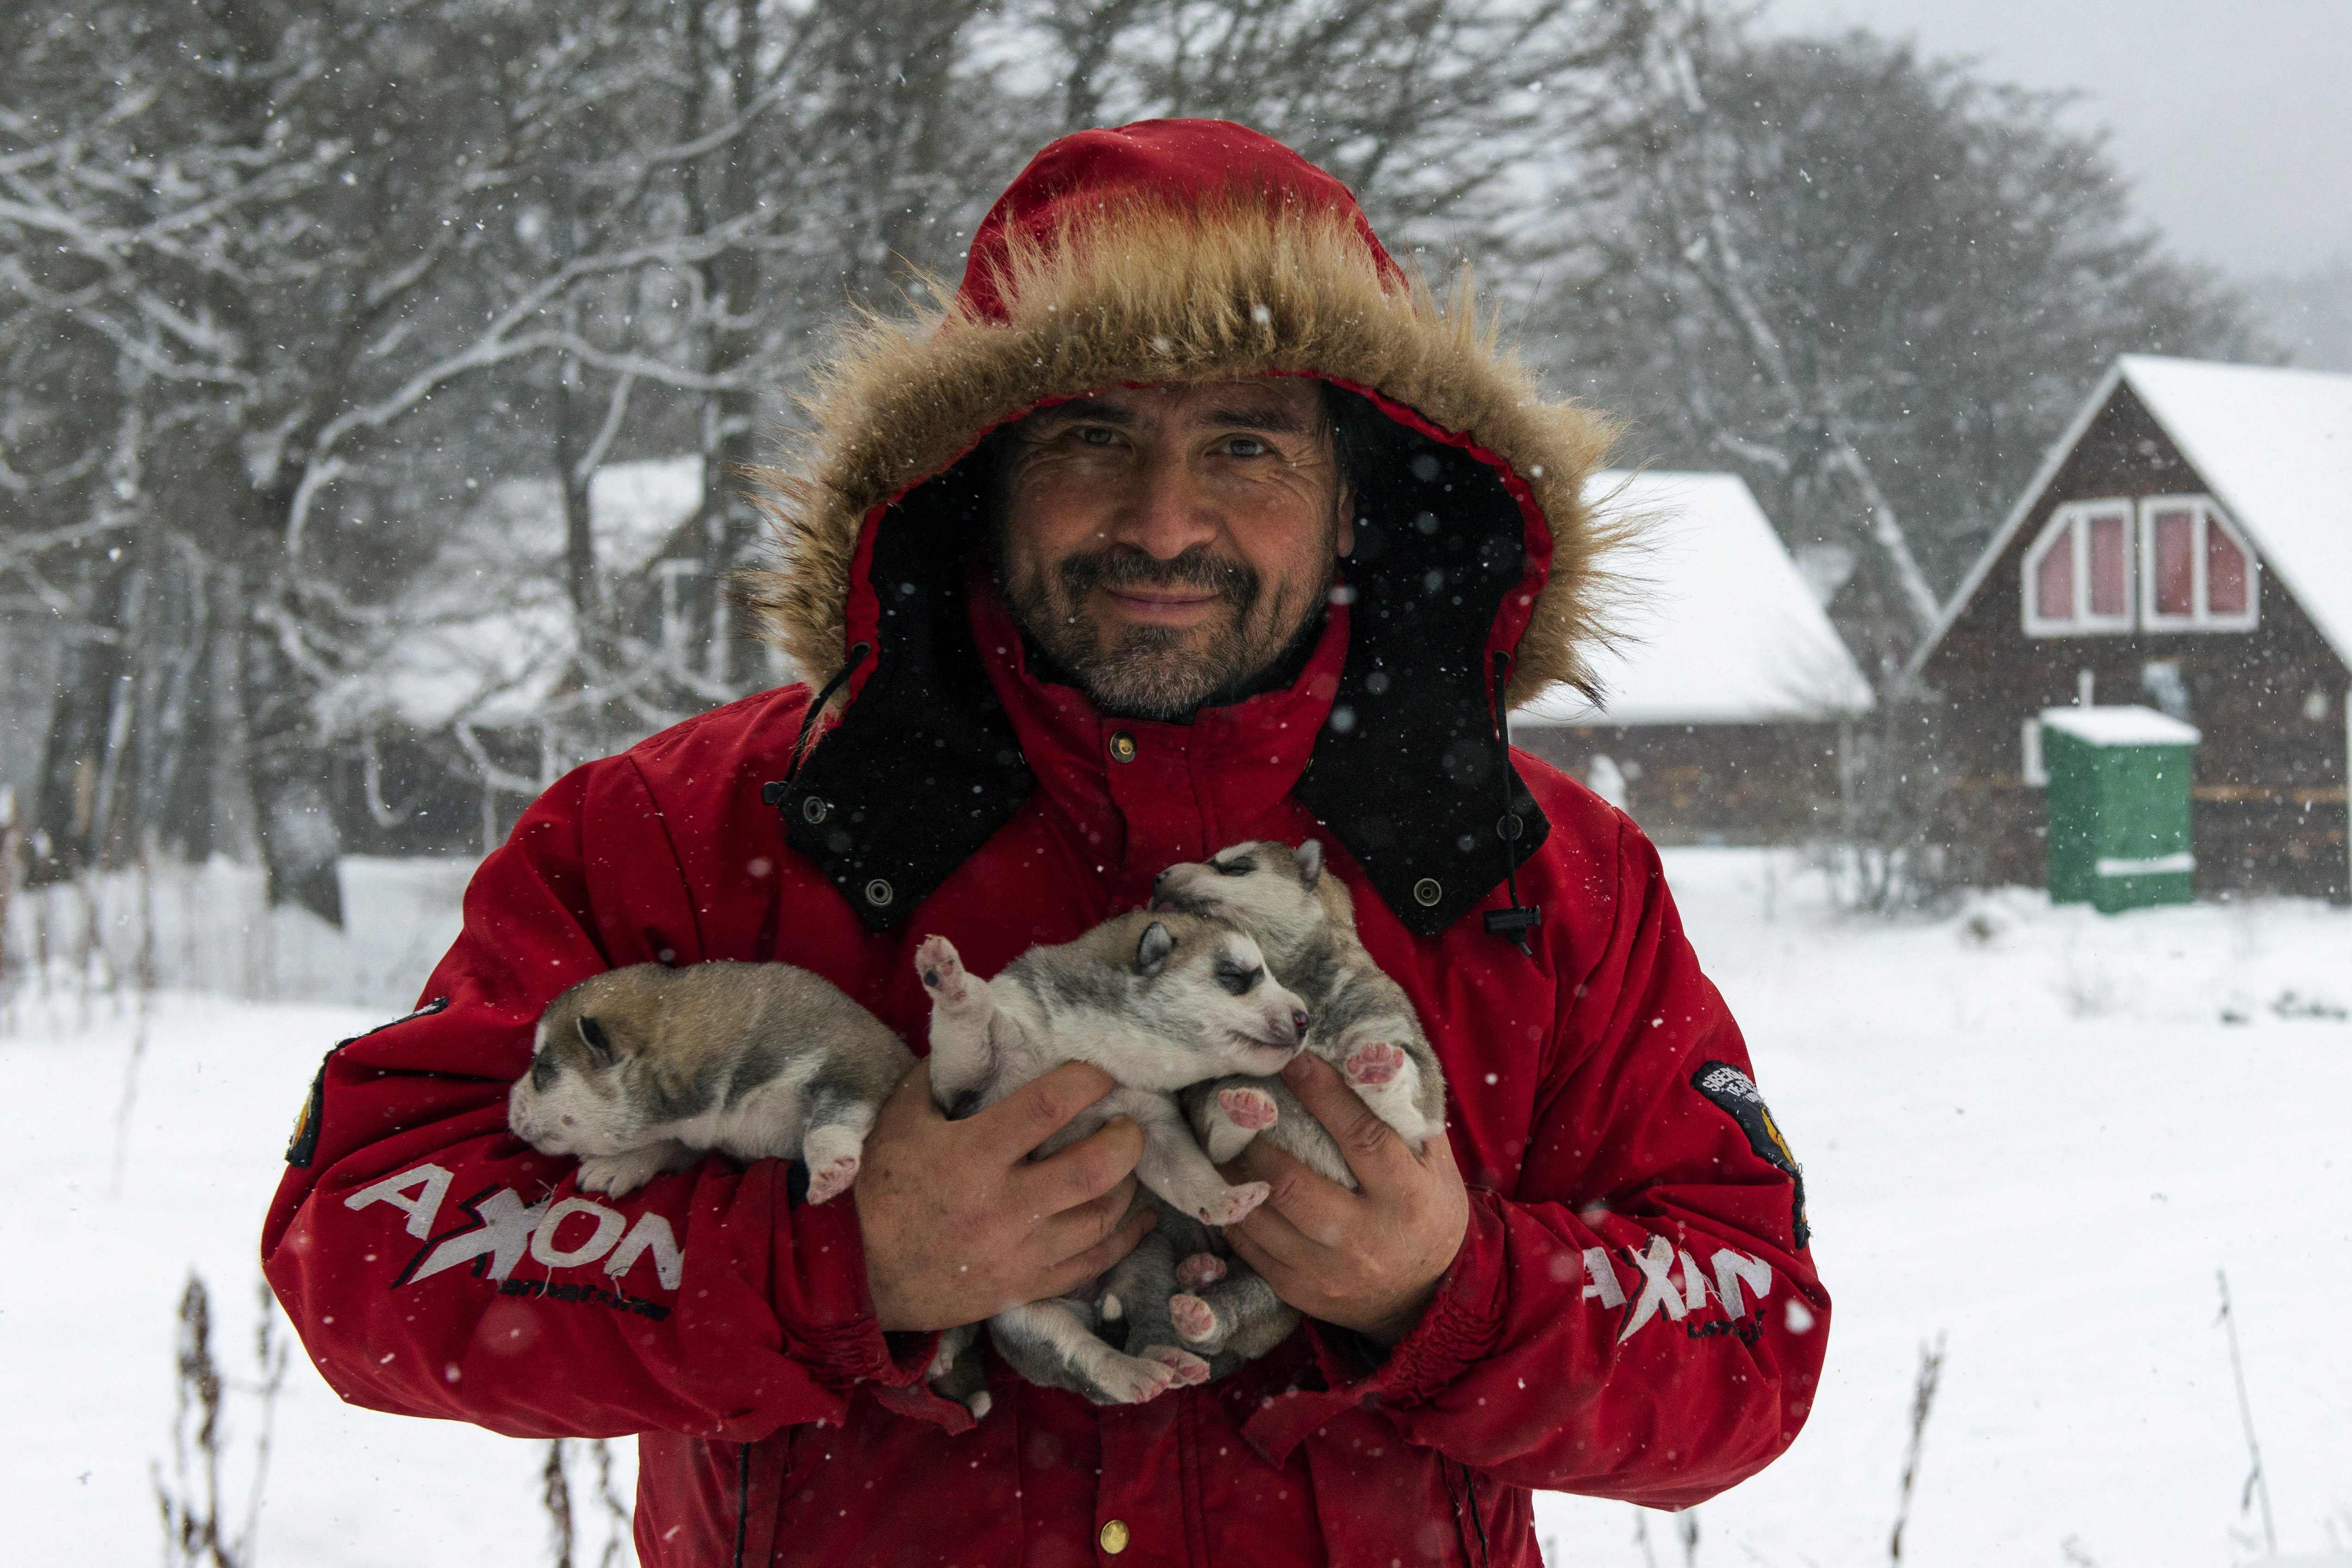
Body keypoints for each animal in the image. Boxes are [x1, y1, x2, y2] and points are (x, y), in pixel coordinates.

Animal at [510, 959, 912, 1204]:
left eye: (542, 1068)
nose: (509, 1104)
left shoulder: (856, 1062)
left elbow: (828, 1122)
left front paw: (829, 1170)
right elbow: (671, 1144)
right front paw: (621, 1164)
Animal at [917, 907, 1317, 1410]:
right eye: (1235, 977)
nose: (1307, 1019)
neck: (1096, 1049)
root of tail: (1090, 1299)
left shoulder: (1151, 1121)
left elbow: (1186, 1172)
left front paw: (1226, 1195)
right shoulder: (968, 1085)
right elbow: (966, 1036)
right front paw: (951, 984)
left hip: (1147, 1259)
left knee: (1144, 1324)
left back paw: (1167, 1359)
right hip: (1027, 1318)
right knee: (1082, 1359)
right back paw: (1129, 1373)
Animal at [1115, 841, 1439, 1363]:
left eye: (1234, 866)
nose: (1158, 877)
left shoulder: (1414, 1088)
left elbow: (1409, 1096)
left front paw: (1379, 1070)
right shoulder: (1205, 1099)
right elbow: (1218, 1123)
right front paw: (1244, 1108)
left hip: (1281, 1292)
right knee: (1220, 1321)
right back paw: (1199, 1294)